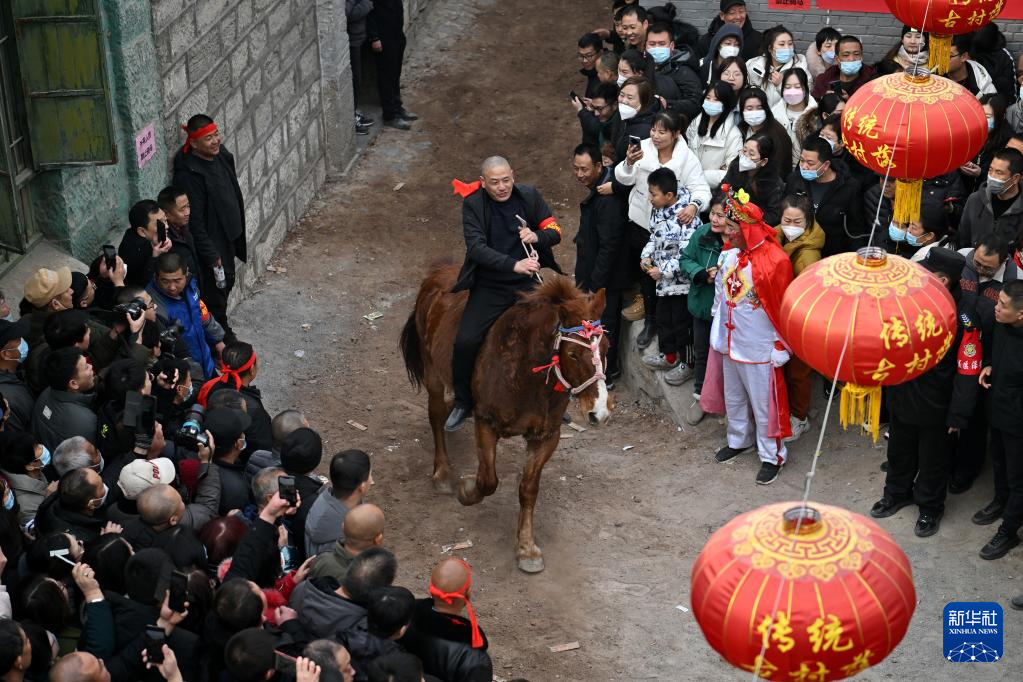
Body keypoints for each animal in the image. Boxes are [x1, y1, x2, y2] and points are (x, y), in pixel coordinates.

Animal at [399, 263, 613, 572]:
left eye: (607, 348)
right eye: (573, 353)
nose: (600, 412)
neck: (527, 374)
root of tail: (437, 276)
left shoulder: (547, 436)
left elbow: (528, 488)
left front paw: (526, 548)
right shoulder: (486, 423)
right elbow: (488, 480)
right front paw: (466, 490)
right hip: (433, 375)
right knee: (436, 417)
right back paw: (442, 472)